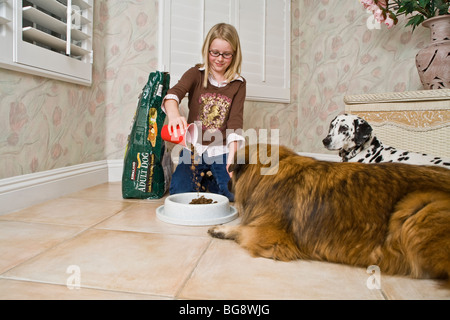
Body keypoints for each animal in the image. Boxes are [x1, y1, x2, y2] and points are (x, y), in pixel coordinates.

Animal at [209, 144, 450, 280]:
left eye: (232, 172)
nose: (228, 184)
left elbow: (243, 230)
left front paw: (221, 229)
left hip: (416, 210)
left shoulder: (271, 238)